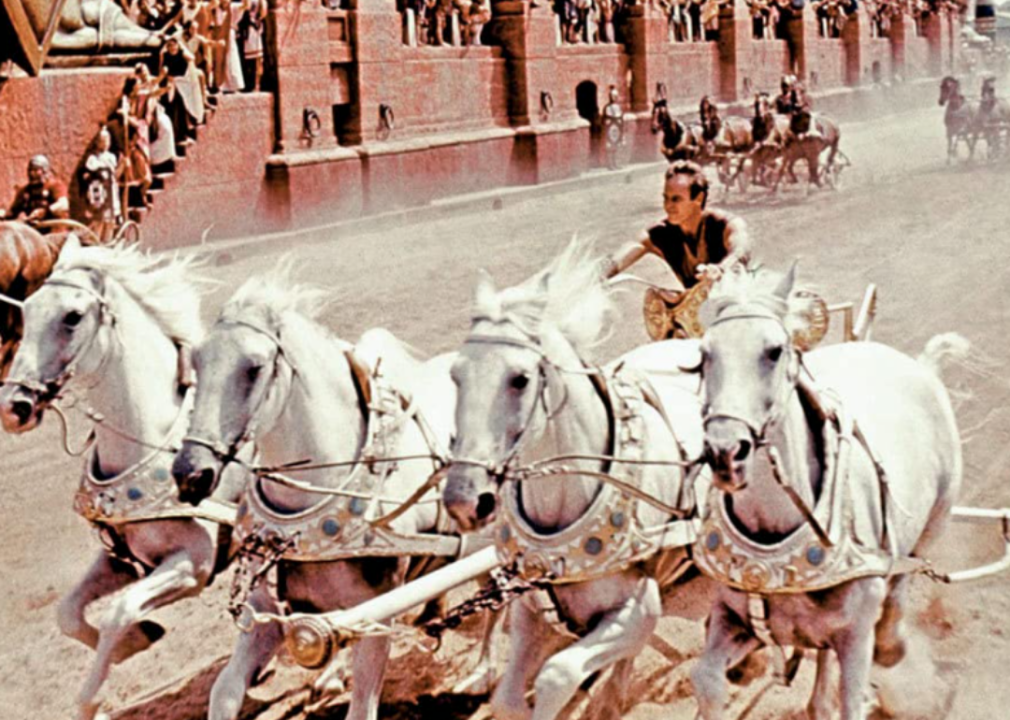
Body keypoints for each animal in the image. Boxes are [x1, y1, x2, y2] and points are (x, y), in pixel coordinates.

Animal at [0, 238, 240, 718]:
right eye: (27, 311)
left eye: (72, 317)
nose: (13, 407)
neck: (151, 442)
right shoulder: (120, 558)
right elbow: (67, 613)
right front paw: (138, 640)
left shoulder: (194, 564)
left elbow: (119, 611)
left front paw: (95, 695)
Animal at [173, 274, 496, 718]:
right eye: (197, 363)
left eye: (254, 368)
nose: (189, 473)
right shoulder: (265, 614)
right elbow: (224, 692)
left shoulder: (377, 618)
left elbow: (362, 707)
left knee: (503, 603)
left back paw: (482, 674)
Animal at [442, 241, 711, 718]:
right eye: (455, 374)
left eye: (520, 378)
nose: (464, 500)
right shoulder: (531, 606)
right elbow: (507, 699)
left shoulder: (637, 611)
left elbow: (557, 674)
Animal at [694, 268, 961, 718]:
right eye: (703, 354)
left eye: (774, 351)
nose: (724, 452)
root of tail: (921, 367)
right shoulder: (731, 617)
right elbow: (708, 682)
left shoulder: (855, 638)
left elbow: (850, 700)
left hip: (934, 522)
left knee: (903, 579)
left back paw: (892, 645)